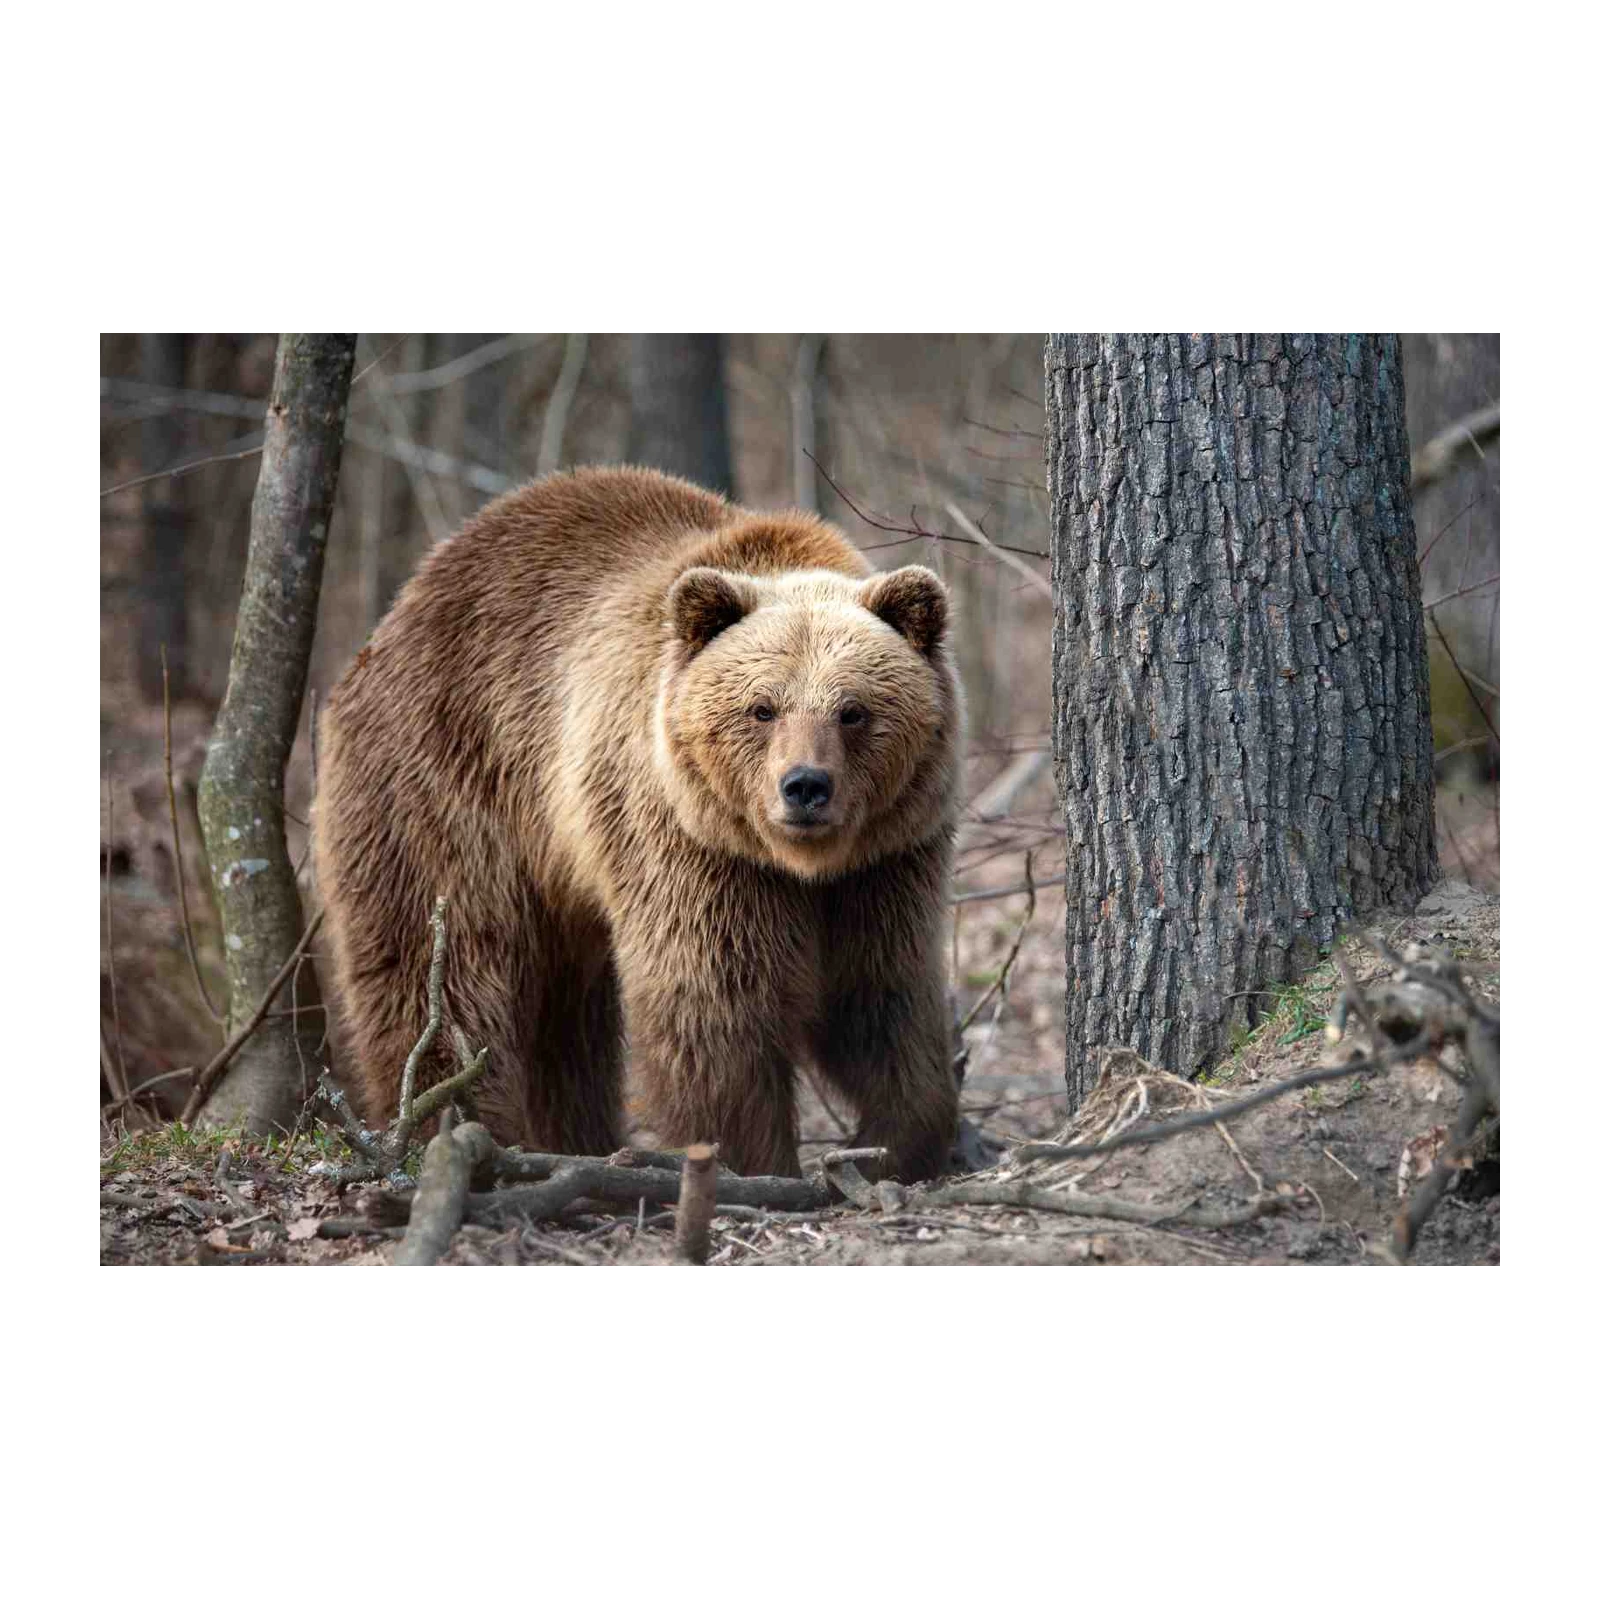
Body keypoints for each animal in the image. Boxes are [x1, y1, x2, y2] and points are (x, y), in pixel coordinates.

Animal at [313, 465, 962, 1181]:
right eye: (762, 708)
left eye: (853, 710)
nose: (805, 787)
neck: (798, 865)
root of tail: (397, 612)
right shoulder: (691, 847)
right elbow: (715, 1008)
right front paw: (748, 1158)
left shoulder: (884, 861)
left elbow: (879, 994)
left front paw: (899, 1141)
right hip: (444, 789)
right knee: (440, 972)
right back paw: (455, 1127)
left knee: (567, 1023)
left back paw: (571, 1140)